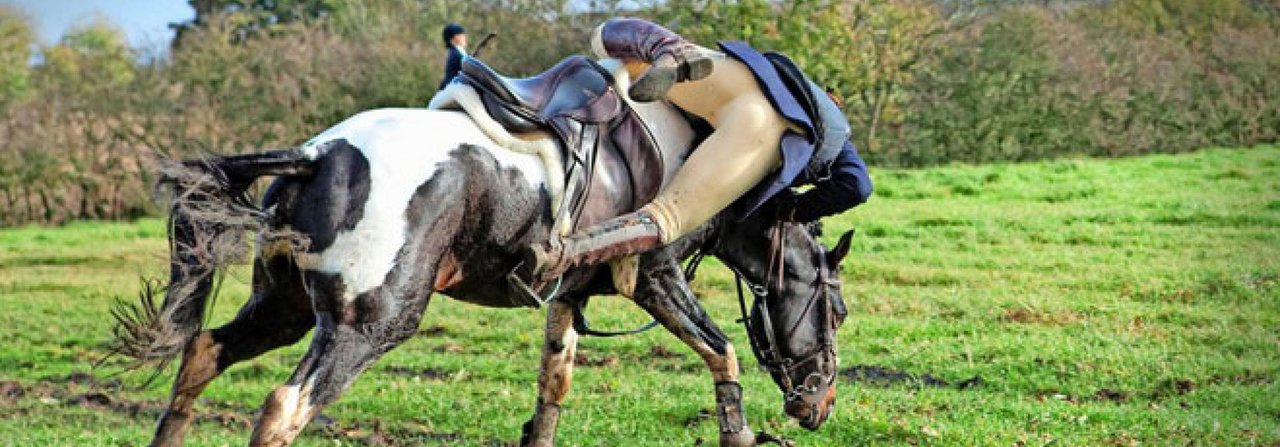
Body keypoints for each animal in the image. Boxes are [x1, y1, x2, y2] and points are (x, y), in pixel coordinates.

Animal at [117, 60, 849, 445]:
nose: (819, 405)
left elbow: (553, 388)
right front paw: (739, 431)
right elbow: (722, 350)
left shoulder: (569, 296)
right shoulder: (657, 280)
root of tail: (317, 154)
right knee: (282, 408)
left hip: (285, 307)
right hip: (368, 325)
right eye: (837, 312)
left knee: (201, 353)